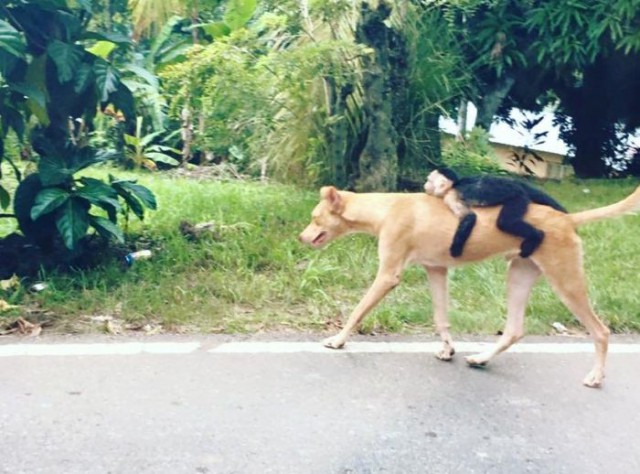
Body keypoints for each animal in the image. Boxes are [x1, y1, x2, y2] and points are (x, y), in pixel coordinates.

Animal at [298, 183, 640, 386]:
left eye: (315, 217)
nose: (300, 237)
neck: (386, 208)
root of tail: (568, 219)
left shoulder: (388, 275)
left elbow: (358, 310)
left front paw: (338, 340)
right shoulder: (436, 270)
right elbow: (441, 317)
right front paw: (448, 348)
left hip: (566, 281)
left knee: (600, 331)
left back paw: (596, 375)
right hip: (519, 274)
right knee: (514, 329)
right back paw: (481, 358)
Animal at [422, 168, 568, 260]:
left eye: (429, 181)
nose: (424, 185)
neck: (455, 185)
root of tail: (517, 186)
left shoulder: (451, 196)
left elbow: (469, 217)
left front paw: (455, 249)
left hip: (518, 197)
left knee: (505, 222)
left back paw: (537, 235)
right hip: (519, 188)